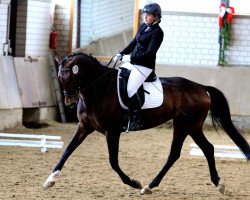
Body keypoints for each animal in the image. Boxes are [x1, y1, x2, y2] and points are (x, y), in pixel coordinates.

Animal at [43, 51, 250, 194]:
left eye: (73, 76)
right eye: (60, 78)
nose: (69, 102)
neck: (99, 90)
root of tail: (202, 88)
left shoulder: (112, 131)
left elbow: (113, 161)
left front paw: (134, 183)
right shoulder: (84, 127)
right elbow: (68, 150)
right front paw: (50, 179)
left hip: (183, 124)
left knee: (174, 154)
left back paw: (149, 186)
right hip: (193, 126)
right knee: (208, 148)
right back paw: (218, 184)